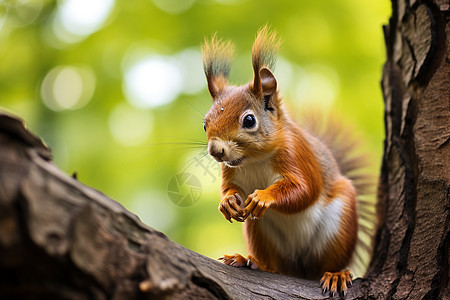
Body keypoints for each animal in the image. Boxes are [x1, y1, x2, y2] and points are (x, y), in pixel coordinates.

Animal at [202, 26, 374, 298]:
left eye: (249, 120)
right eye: (205, 123)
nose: (216, 151)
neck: (254, 160)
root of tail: (298, 270)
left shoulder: (298, 155)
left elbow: (305, 189)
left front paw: (263, 197)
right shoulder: (230, 171)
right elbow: (230, 189)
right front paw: (227, 202)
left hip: (339, 225)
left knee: (330, 262)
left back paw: (336, 274)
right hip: (259, 231)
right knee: (273, 265)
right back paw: (250, 261)